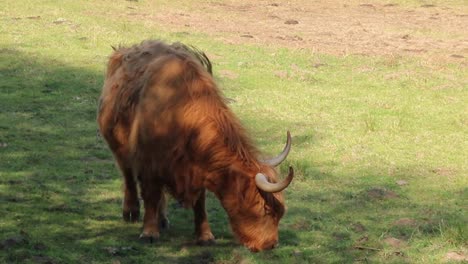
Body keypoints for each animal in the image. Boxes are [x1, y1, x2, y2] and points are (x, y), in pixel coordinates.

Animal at [97, 40, 294, 253]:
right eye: (264, 210)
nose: (271, 244)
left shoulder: (196, 169)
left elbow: (200, 202)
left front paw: (205, 235)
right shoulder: (149, 161)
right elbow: (150, 195)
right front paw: (149, 232)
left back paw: (162, 219)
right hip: (118, 145)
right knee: (128, 175)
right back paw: (131, 211)